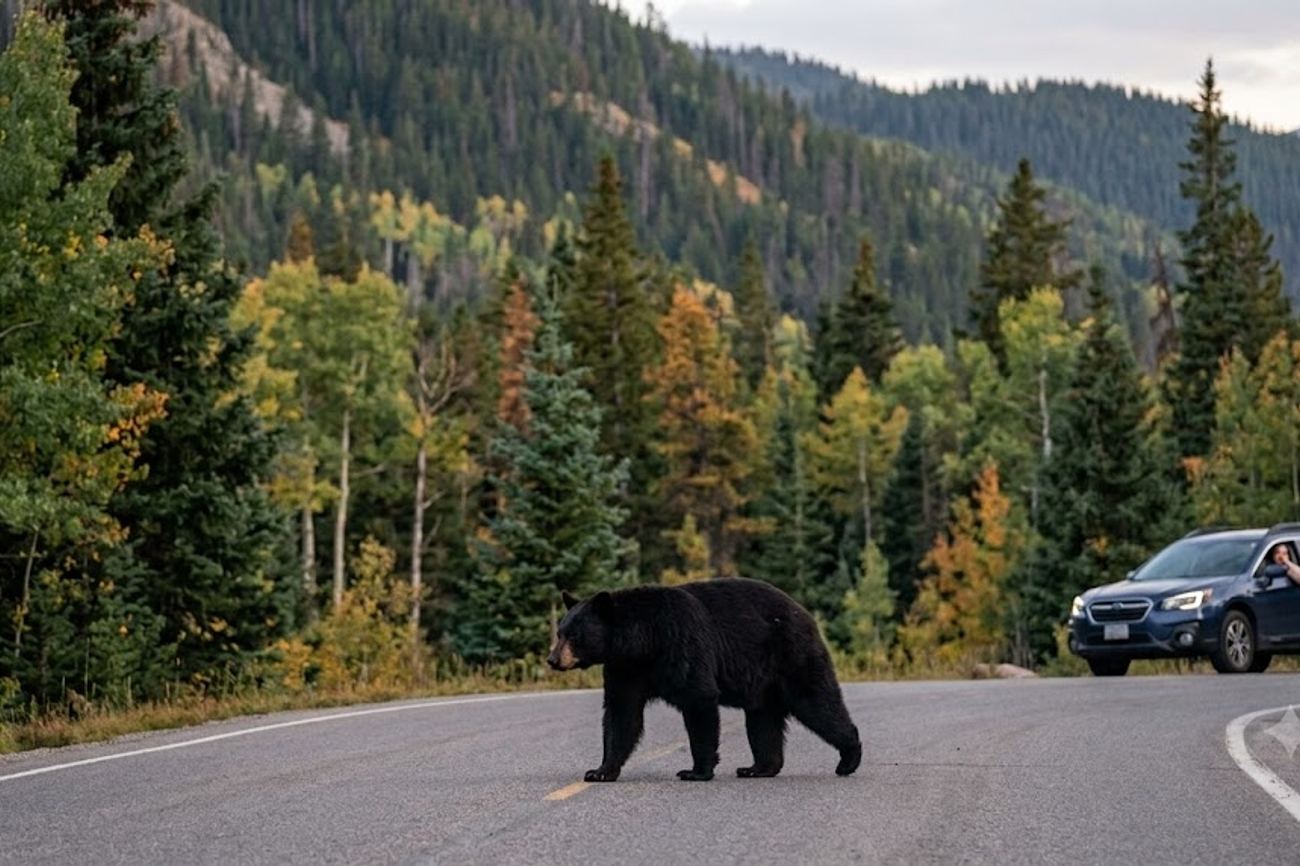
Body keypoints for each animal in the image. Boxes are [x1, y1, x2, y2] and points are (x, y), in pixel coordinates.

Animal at [547, 578, 862, 782]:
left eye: (574, 635)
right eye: (560, 632)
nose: (552, 659)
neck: (643, 643)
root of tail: (805, 613)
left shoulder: (681, 645)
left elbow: (699, 700)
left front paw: (696, 771)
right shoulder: (625, 669)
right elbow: (621, 715)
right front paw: (600, 771)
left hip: (792, 655)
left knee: (818, 703)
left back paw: (848, 759)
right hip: (764, 683)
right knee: (762, 720)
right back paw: (757, 768)